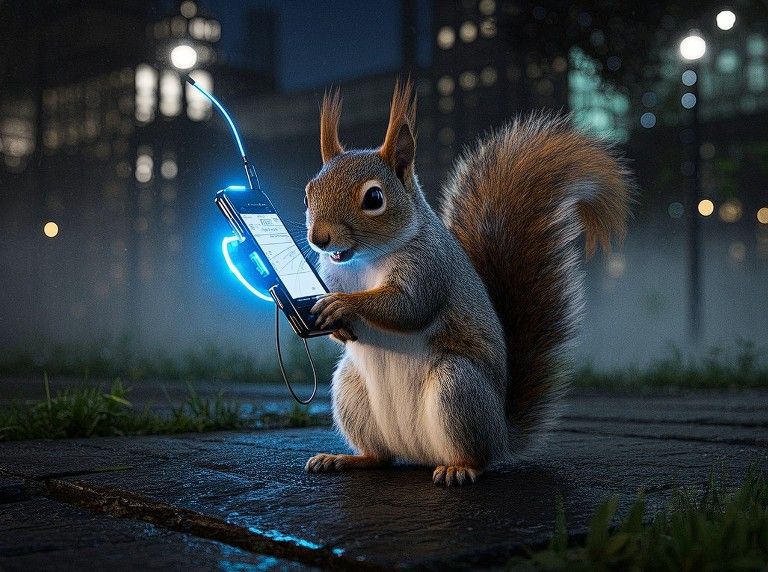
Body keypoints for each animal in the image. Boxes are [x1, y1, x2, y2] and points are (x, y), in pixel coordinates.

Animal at [303, 79, 632, 486]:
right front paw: (330, 322)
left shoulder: (430, 266)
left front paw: (344, 305)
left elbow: (409, 307)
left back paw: (460, 468)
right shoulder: (331, 273)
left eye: (374, 198)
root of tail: (501, 434)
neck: (363, 261)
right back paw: (346, 459)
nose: (319, 238)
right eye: (308, 192)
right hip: (351, 390)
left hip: (457, 388)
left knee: (475, 455)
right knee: (380, 457)